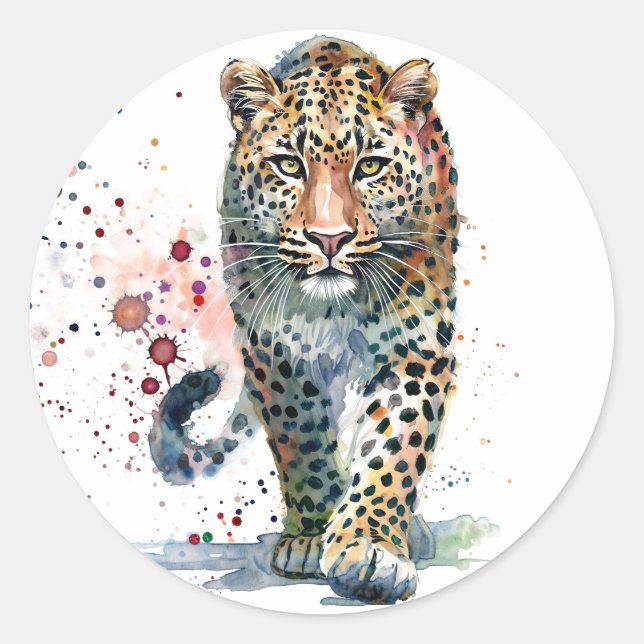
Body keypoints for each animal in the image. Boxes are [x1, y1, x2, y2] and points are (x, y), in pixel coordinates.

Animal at [148, 35, 462, 605]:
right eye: (289, 166)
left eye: (370, 166)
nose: (329, 238)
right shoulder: (274, 349)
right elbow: (304, 443)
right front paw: (312, 536)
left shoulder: (418, 345)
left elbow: (394, 449)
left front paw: (372, 549)